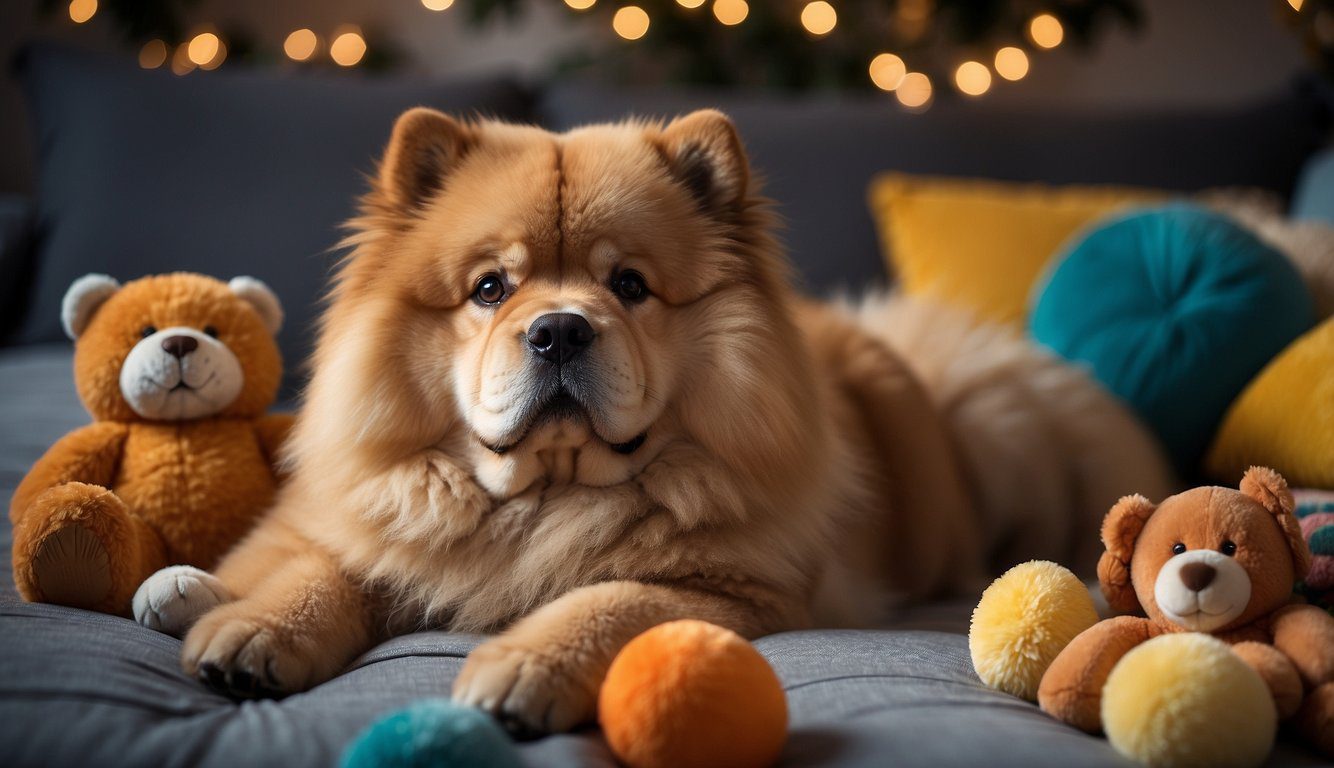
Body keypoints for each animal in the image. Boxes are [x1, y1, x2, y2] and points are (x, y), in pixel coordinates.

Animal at [164, 106, 1168, 730]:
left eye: (629, 286)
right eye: (490, 288)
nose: (559, 330)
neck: (546, 498)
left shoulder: (733, 590)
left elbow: (610, 600)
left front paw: (519, 668)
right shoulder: (374, 524)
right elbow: (321, 567)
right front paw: (249, 632)